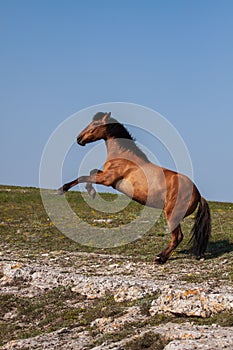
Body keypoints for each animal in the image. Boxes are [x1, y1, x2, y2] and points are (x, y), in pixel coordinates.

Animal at [58, 112, 211, 262]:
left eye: (95, 123)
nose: (79, 139)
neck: (123, 156)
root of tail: (198, 194)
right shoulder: (105, 176)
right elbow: (91, 172)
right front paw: (90, 191)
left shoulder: (107, 180)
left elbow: (84, 176)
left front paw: (65, 189)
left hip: (172, 214)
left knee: (177, 237)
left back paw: (160, 258)